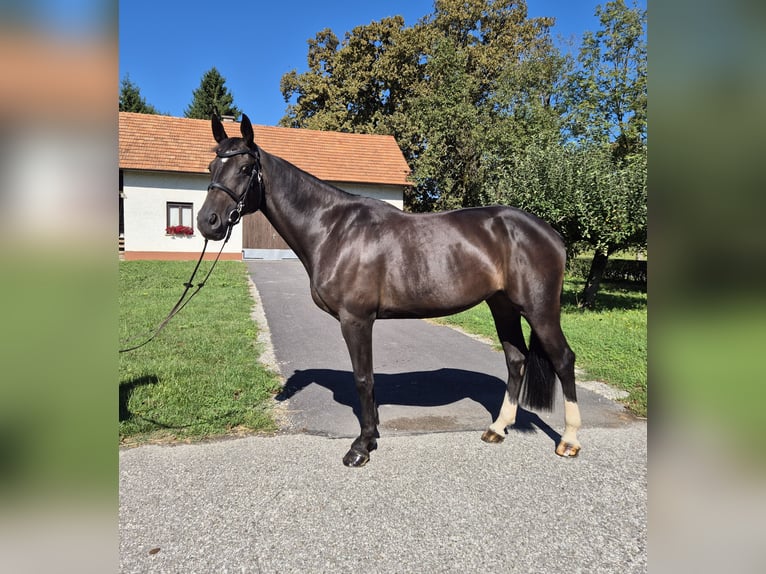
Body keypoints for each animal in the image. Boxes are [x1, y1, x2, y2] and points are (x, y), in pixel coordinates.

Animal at [197, 114, 581, 467]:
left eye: (245, 167)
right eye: (212, 166)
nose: (207, 223)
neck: (333, 229)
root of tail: (550, 233)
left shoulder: (356, 319)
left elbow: (363, 379)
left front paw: (361, 447)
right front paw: (372, 436)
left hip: (539, 309)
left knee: (563, 359)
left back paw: (569, 441)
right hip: (502, 305)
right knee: (516, 359)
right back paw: (497, 428)